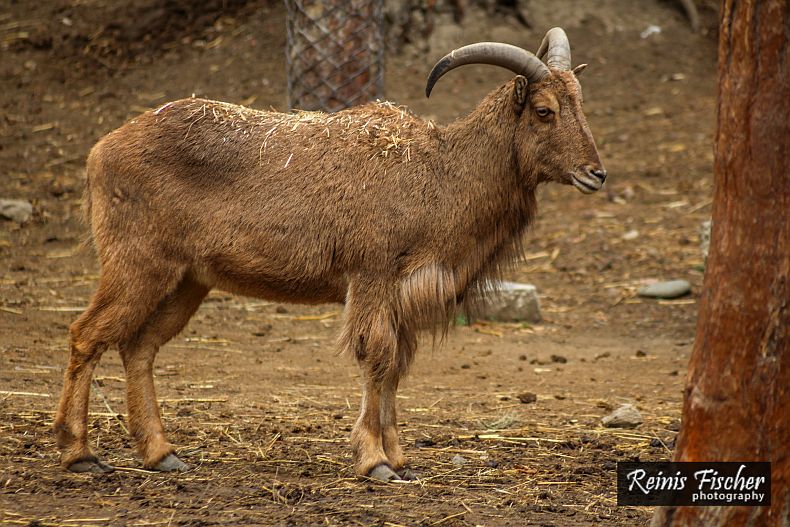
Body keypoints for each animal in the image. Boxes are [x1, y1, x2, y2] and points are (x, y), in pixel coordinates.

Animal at [54, 28, 606, 481]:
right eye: (544, 111)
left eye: (581, 104)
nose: (595, 174)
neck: (440, 173)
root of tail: (100, 150)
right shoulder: (372, 276)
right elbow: (376, 357)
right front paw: (375, 461)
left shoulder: (400, 297)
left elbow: (396, 366)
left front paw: (400, 460)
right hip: (137, 265)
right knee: (87, 334)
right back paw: (80, 454)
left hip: (189, 280)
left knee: (139, 346)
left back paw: (161, 453)